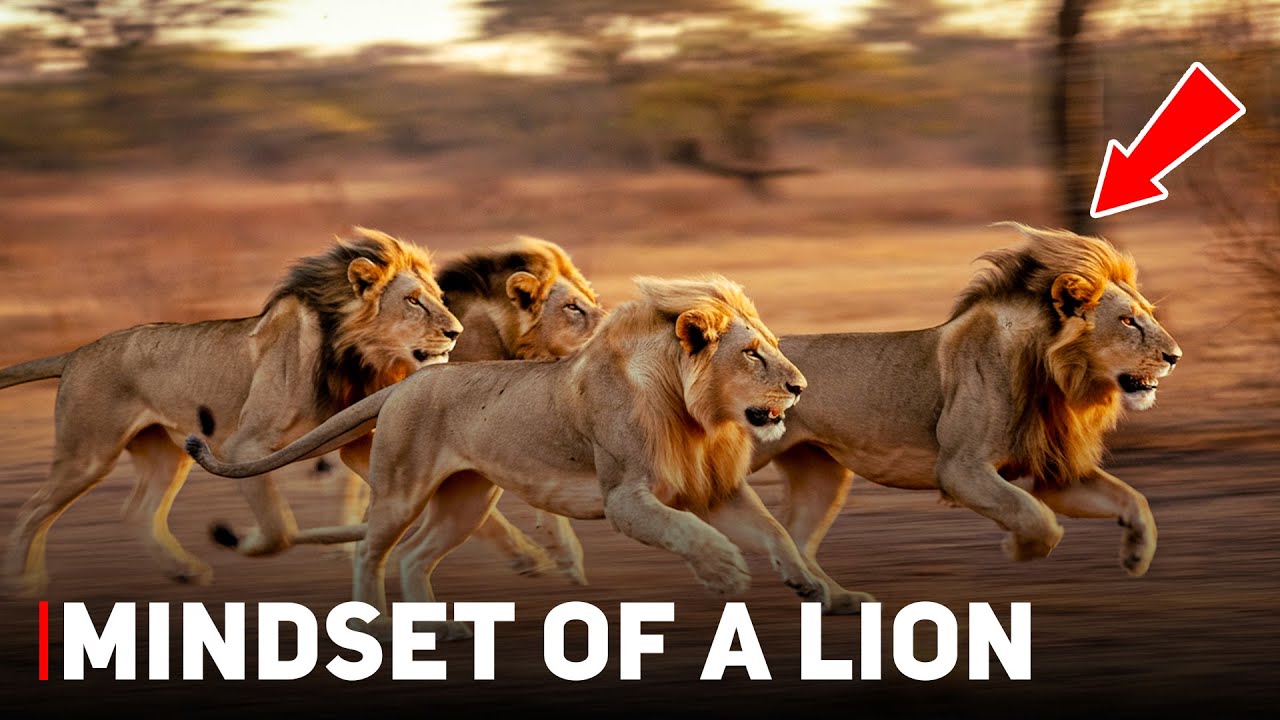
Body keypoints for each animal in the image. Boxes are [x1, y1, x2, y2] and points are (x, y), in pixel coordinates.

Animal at [0, 227, 463, 597]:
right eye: (413, 302)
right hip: (88, 454)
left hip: (167, 455)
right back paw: (25, 583)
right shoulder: (246, 446)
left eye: (440, 299)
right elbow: (279, 529)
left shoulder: (352, 442)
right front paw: (249, 540)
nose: (456, 332)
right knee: (30, 511)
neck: (357, 358)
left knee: (138, 511)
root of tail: (77, 353)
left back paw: (183, 571)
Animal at [186, 275, 855, 639]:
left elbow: (778, 534)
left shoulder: (715, 491)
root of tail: (411, 381)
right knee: (371, 553)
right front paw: (725, 572)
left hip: (466, 498)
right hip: (400, 488)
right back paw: (376, 626)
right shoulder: (625, 497)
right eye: (752, 354)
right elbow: (688, 532)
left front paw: (828, 592)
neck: (698, 418)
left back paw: (439, 628)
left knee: (413, 556)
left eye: (772, 347)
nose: (800, 387)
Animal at [475, 222, 1184, 604]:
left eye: (1148, 313)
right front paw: (1017, 546)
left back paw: (825, 596)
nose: (1175, 355)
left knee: (793, 537)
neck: (1062, 380)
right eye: (1129, 321)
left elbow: (1134, 501)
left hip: (822, 475)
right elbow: (1037, 518)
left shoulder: (1055, 470)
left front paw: (1136, 556)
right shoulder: (963, 468)